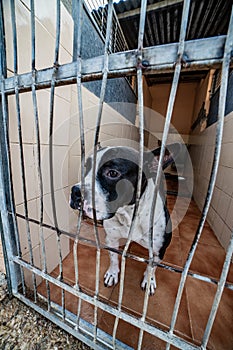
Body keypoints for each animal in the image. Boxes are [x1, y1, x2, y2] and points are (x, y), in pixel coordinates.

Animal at [69, 144, 180, 294]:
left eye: (112, 173)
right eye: (85, 167)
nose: (75, 191)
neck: (128, 215)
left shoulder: (158, 252)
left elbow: (151, 268)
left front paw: (149, 280)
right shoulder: (111, 239)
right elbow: (113, 258)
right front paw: (112, 273)